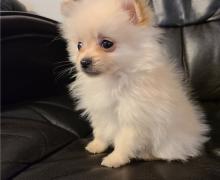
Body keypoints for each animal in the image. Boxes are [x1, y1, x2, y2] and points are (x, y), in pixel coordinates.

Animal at [60, 0, 210, 168]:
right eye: (79, 45)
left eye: (107, 43)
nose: (84, 62)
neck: (113, 78)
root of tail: (196, 137)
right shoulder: (100, 112)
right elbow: (100, 130)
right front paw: (97, 145)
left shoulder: (133, 117)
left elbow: (124, 141)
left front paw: (115, 159)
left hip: (169, 142)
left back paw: (147, 154)